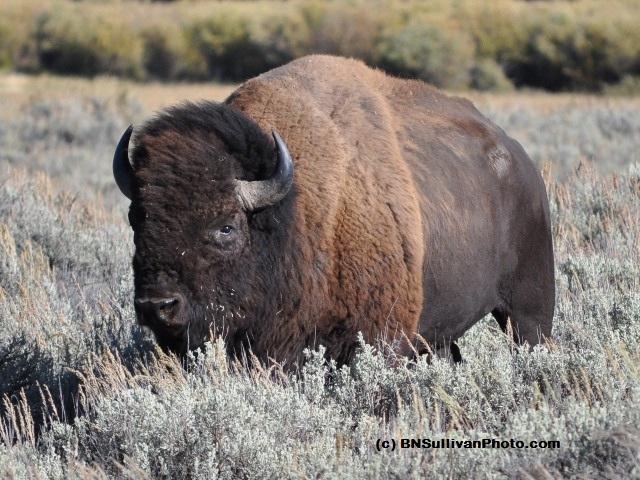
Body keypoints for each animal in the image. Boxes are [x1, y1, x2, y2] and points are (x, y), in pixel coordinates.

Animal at [113, 55, 554, 368]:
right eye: (136, 218)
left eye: (226, 227)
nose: (156, 306)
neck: (294, 211)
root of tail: (520, 162)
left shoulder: (378, 339)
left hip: (529, 312)